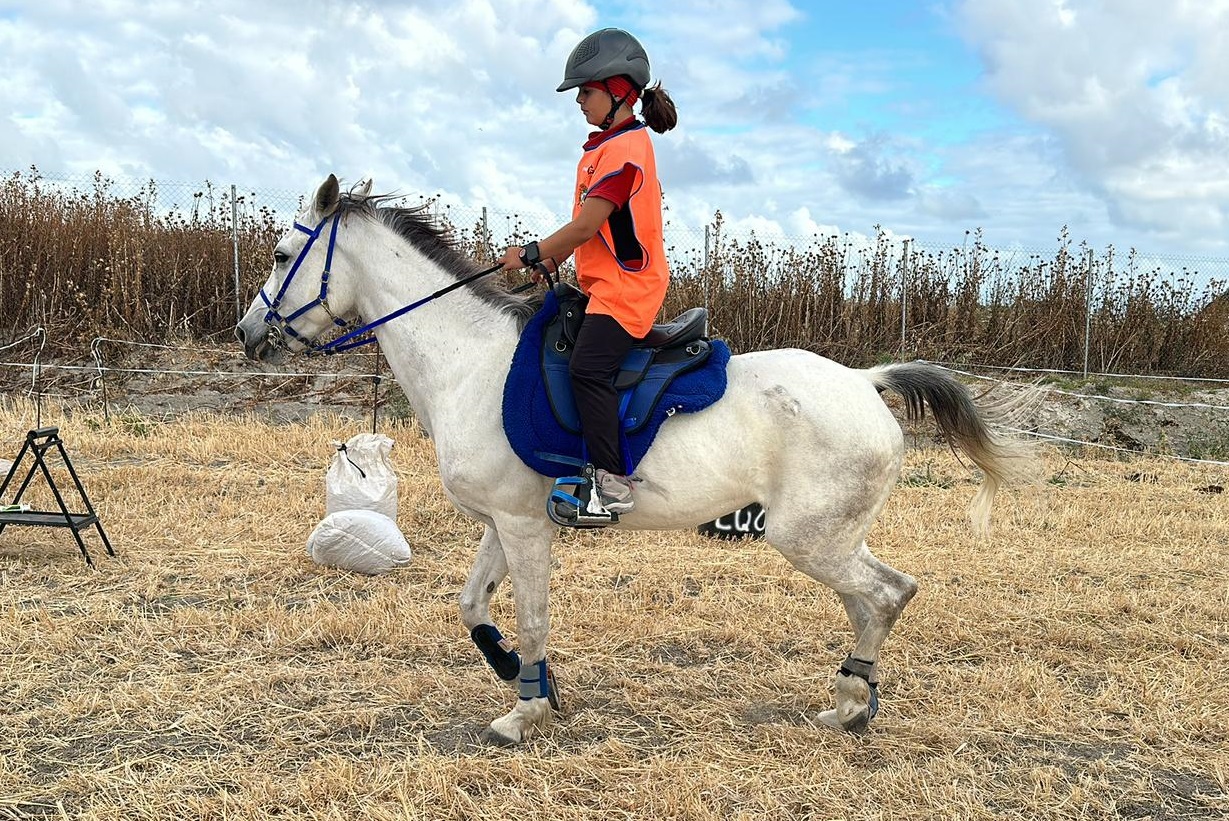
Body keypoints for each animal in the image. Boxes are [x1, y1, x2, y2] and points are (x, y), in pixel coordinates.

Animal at [232, 173, 1037, 742]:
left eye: (280, 254)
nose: (247, 334)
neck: (470, 360)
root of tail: (866, 381)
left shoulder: (524, 527)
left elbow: (531, 618)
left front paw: (524, 711)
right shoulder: (502, 522)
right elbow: (472, 606)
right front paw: (521, 677)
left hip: (808, 537)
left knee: (889, 594)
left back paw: (850, 701)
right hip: (831, 537)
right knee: (871, 601)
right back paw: (849, 701)